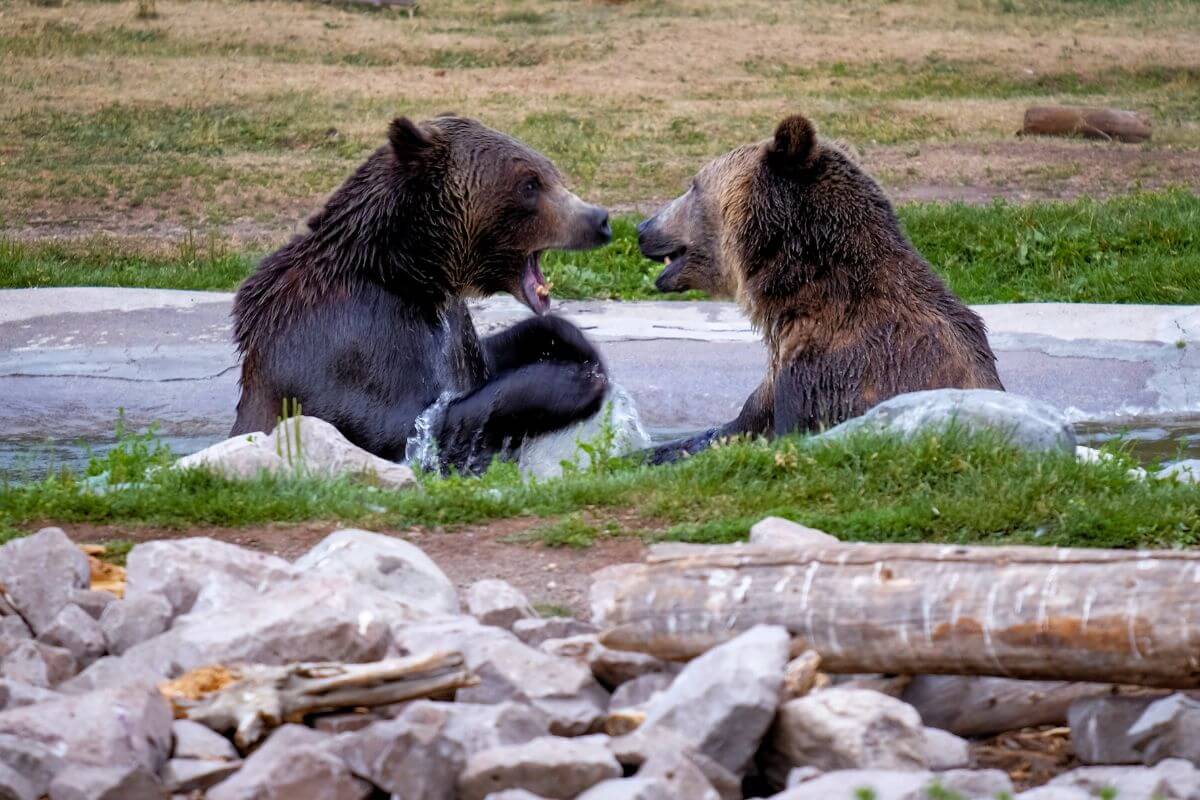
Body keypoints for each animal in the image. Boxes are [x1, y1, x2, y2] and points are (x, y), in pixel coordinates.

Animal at [231, 115, 614, 474]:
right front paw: (572, 381)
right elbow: (409, 429)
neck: (409, 275)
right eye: (530, 183)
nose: (600, 219)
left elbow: (493, 357)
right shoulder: (350, 341)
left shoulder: (454, 329)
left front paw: (570, 343)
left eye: (551, 172)